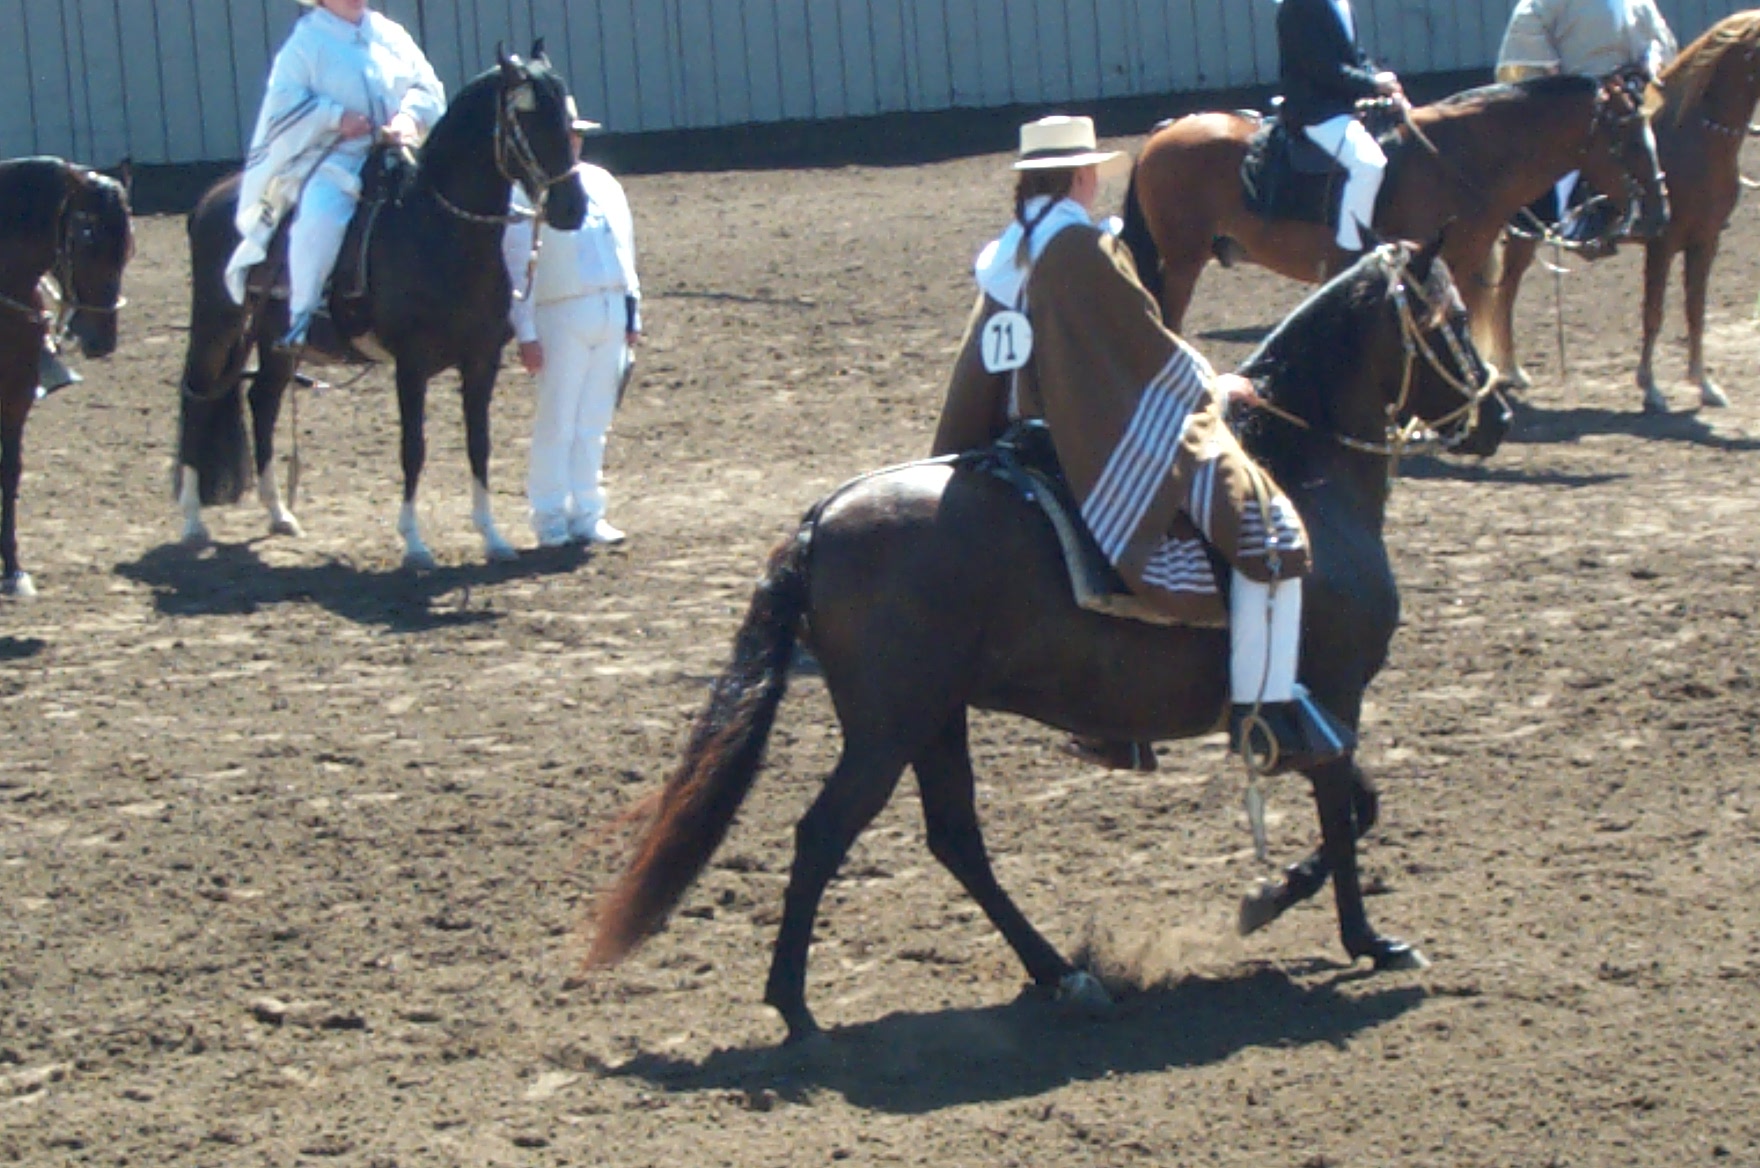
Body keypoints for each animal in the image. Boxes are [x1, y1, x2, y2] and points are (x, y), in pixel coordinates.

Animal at [0, 157, 133, 598]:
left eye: (128, 247)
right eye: (86, 237)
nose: (101, 340)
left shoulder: (16, 399)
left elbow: (10, 472)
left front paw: (14, 571)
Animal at [175, 46, 586, 569]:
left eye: (566, 115)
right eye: (527, 118)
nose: (572, 208)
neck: (438, 232)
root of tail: (211, 198)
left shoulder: (481, 361)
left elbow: (480, 444)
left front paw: (492, 537)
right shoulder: (410, 365)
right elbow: (413, 448)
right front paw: (414, 543)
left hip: (275, 342)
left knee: (261, 402)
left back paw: (280, 515)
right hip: (216, 327)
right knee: (197, 399)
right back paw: (193, 521)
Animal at [583, 237, 1513, 1045]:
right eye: (1450, 318)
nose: (1498, 412)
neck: (1304, 469)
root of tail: (823, 516)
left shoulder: (1316, 710)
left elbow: (1356, 808)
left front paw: (1278, 901)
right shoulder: (1332, 698)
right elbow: (1347, 815)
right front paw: (1356, 934)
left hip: (933, 719)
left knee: (955, 839)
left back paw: (1062, 973)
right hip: (889, 730)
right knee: (824, 835)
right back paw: (796, 1006)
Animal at [1485, 13, 1760, 414]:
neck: (1694, 139)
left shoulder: (1706, 241)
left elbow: (1696, 311)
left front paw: (1704, 384)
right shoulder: (1663, 242)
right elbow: (1654, 313)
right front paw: (1651, 388)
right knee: (1501, 295)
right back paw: (1511, 371)